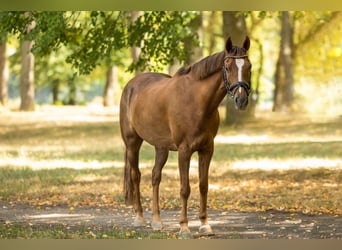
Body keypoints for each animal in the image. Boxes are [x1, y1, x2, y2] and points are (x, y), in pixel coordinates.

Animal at [120, 36, 251, 237]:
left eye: (249, 66)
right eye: (228, 67)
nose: (241, 100)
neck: (197, 101)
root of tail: (131, 85)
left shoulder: (207, 149)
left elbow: (203, 185)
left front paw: (205, 224)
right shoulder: (184, 150)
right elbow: (185, 188)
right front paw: (184, 227)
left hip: (161, 147)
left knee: (155, 177)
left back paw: (156, 221)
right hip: (133, 142)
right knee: (136, 176)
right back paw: (139, 218)